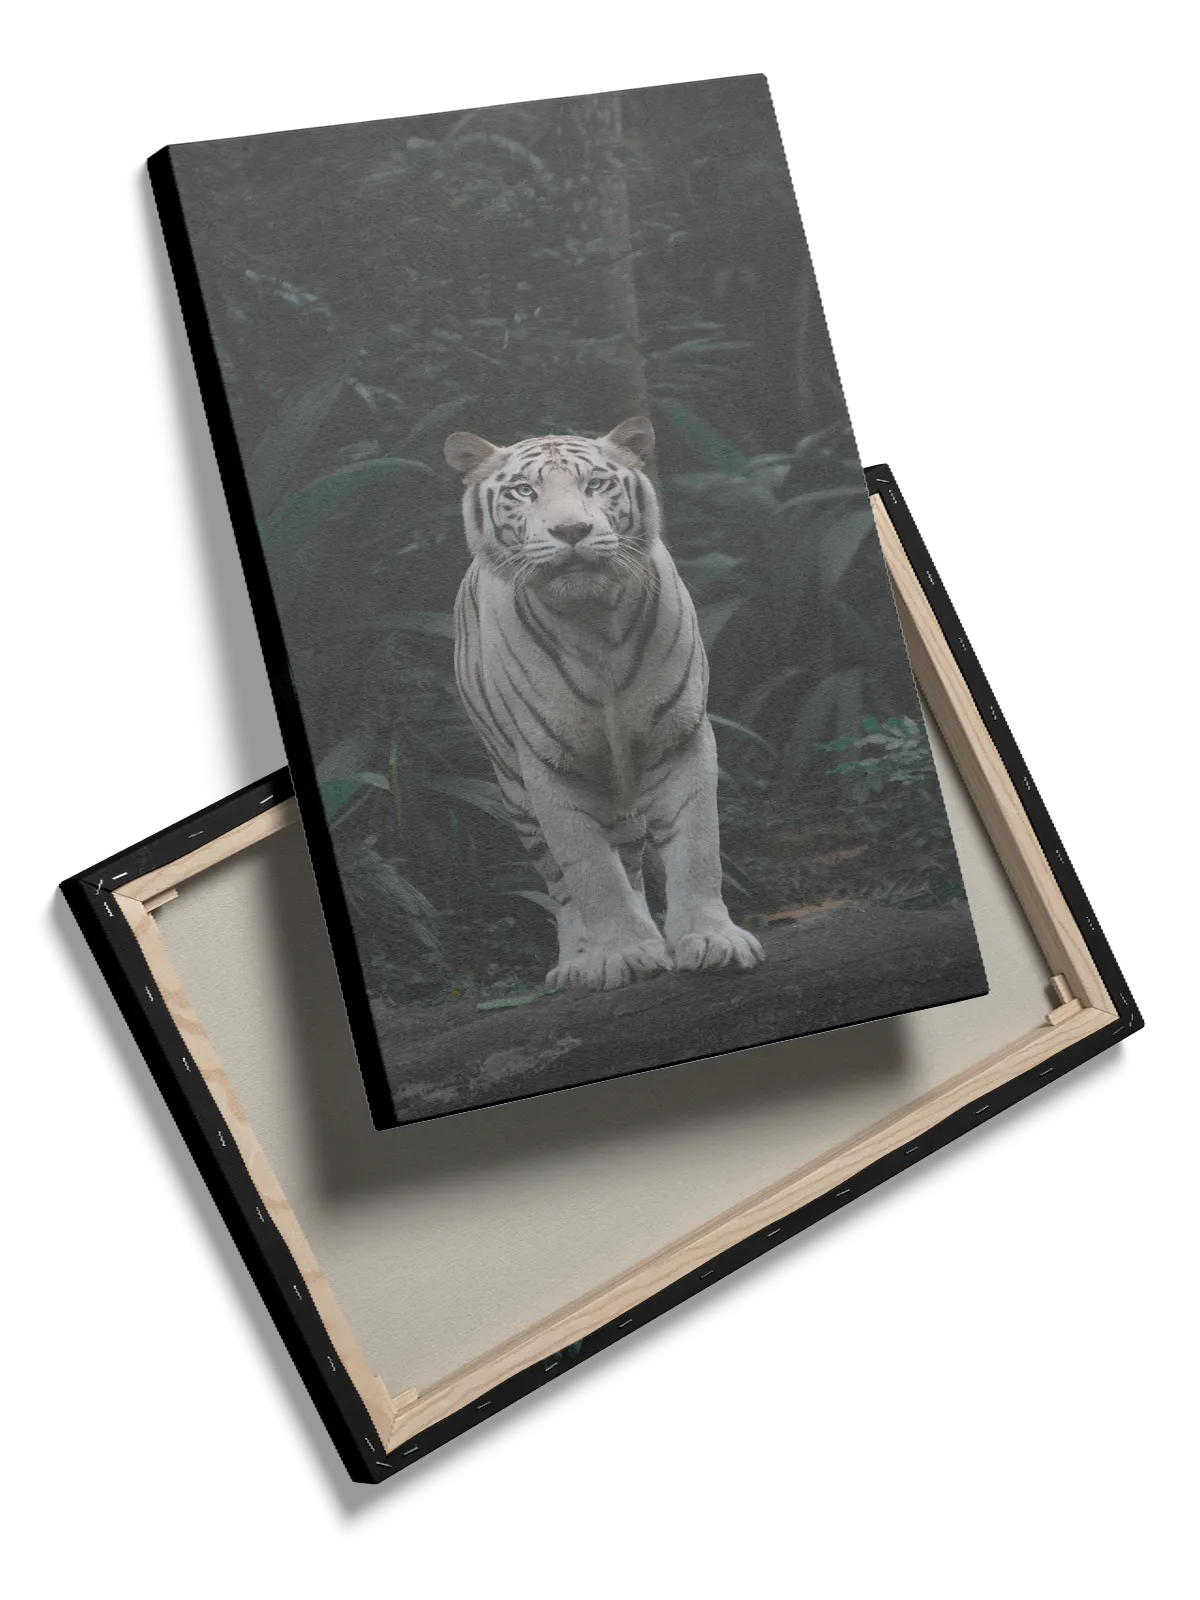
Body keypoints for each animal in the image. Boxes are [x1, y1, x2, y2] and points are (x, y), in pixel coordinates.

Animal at [445, 414, 765, 993]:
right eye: (524, 491)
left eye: (595, 484)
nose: (571, 531)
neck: (593, 621)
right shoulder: (549, 765)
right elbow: (590, 871)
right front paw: (624, 954)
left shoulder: (679, 738)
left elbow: (697, 846)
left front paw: (711, 941)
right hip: (514, 792)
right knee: (562, 885)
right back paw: (578, 963)